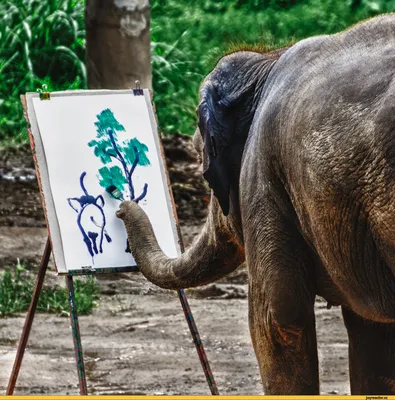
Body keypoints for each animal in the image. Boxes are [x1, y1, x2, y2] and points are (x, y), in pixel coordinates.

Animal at [117, 14, 395, 396]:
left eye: (205, 172)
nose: (120, 204)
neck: (268, 60)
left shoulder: (263, 176)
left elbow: (277, 320)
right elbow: (374, 335)